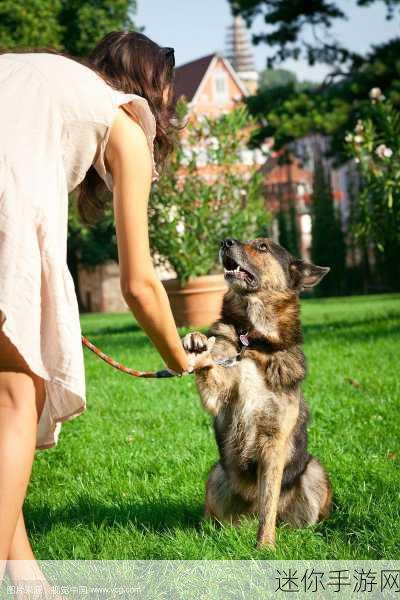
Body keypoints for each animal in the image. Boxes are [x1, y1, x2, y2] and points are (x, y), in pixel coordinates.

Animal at [183, 237, 332, 548]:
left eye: (263, 247)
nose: (225, 241)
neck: (253, 342)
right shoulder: (217, 395)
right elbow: (210, 370)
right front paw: (197, 344)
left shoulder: (274, 442)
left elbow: (268, 503)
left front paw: (265, 546)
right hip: (216, 475)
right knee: (211, 517)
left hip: (314, 471)